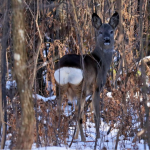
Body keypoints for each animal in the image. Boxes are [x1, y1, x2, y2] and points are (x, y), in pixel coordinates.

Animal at [53, 11, 119, 142]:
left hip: (60, 86)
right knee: (78, 114)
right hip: (80, 87)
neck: (100, 62)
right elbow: (96, 114)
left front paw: (76, 137)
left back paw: (59, 137)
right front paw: (98, 137)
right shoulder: (97, 88)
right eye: (100, 32)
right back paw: (84, 139)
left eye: (111, 31)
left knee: (60, 111)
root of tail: (67, 68)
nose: (107, 40)